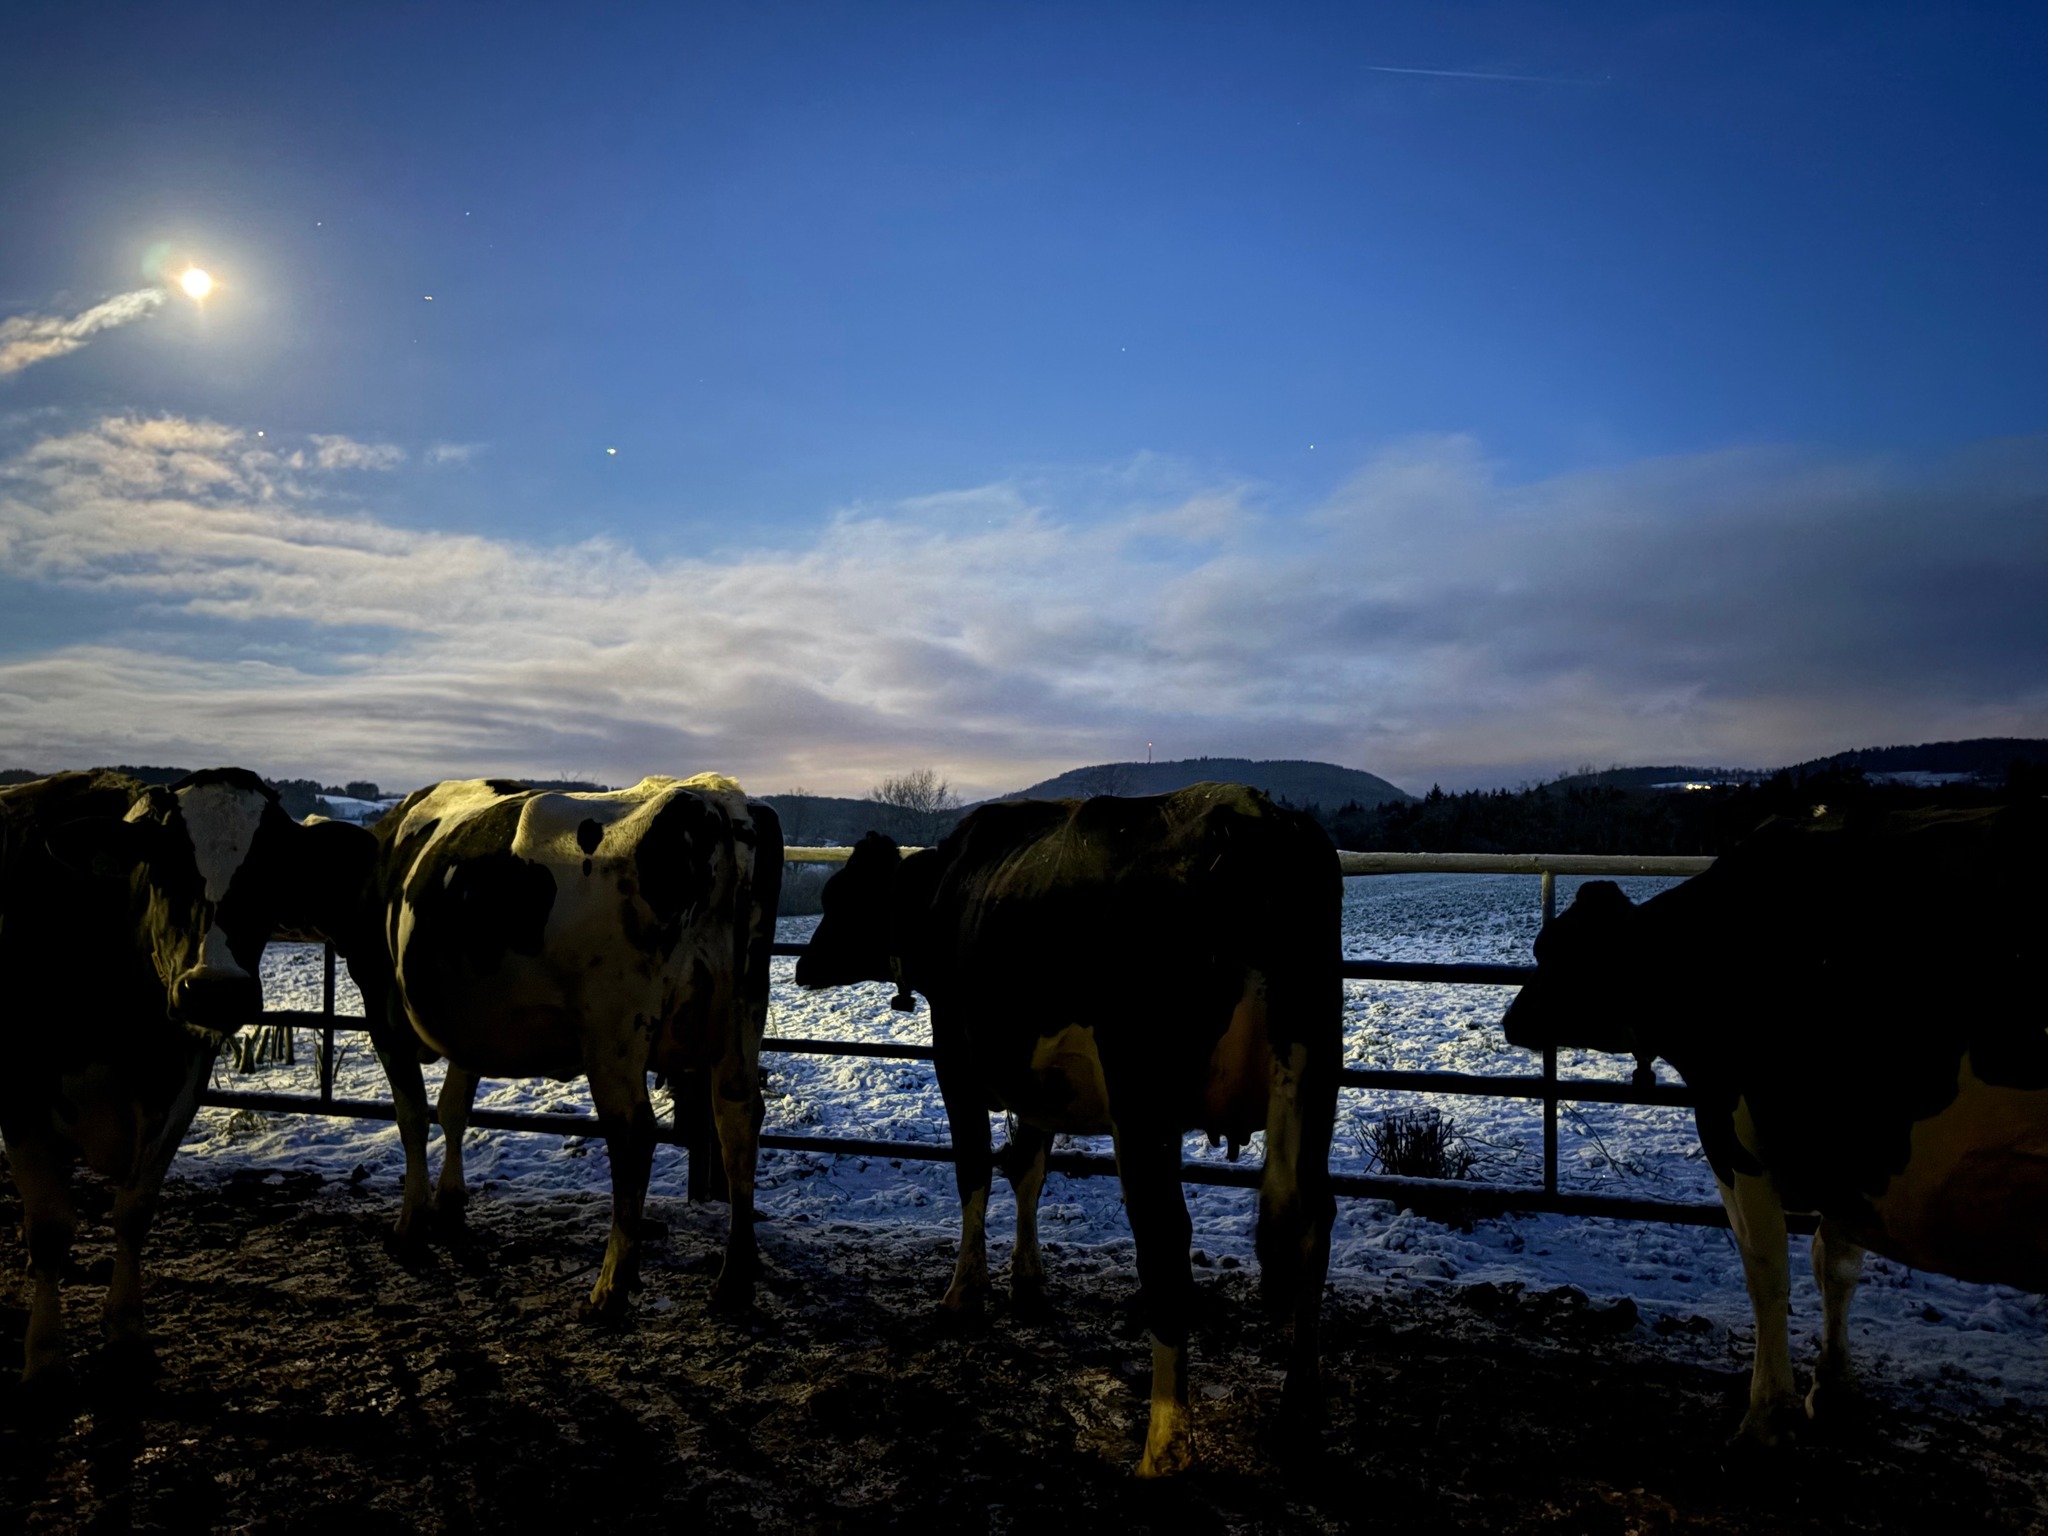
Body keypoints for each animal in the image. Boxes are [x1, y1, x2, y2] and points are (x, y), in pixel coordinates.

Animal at [0, 768, 361, 1388]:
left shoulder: (178, 1092)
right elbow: (49, 1229)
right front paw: (44, 1357)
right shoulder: (20, 1095)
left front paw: (126, 1334)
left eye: (269, 870)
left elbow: (134, 1214)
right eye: (164, 865)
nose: (214, 989)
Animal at [329, 775, 782, 1318]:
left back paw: (610, 1288)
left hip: (614, 1031)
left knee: (634, 1134)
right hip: (741, 1015)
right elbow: (454, 1108)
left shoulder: (382, 1011)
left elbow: (413, 1118)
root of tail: (713, 796)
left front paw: (410, 1223)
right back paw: (734, 1280)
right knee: (738, 1119)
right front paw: (449, 1202)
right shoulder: (472, 1029)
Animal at [793, 783, 1340, 1478]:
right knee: (1311, 1224)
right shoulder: (1039, 1085)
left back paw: (1164, 1448)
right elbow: (1028, 1170)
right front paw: (1027, 1286)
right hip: (1315, 1080)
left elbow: (975, 1171)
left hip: (1144, 1099)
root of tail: (1249, 815)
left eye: (837, 897)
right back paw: (1299, 1411)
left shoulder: (955, 1060)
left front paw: (963, 1298)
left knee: (1165, 1239)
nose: (804, 965)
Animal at [1501, 804, 2048, 1445]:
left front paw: (1767, 1410)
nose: (1510, 1018)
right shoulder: (1844, 1150)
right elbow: (1835, 1264)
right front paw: (1831, 1388)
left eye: (1551, 952)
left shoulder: (1733, 1130)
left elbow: (1769, 1271)